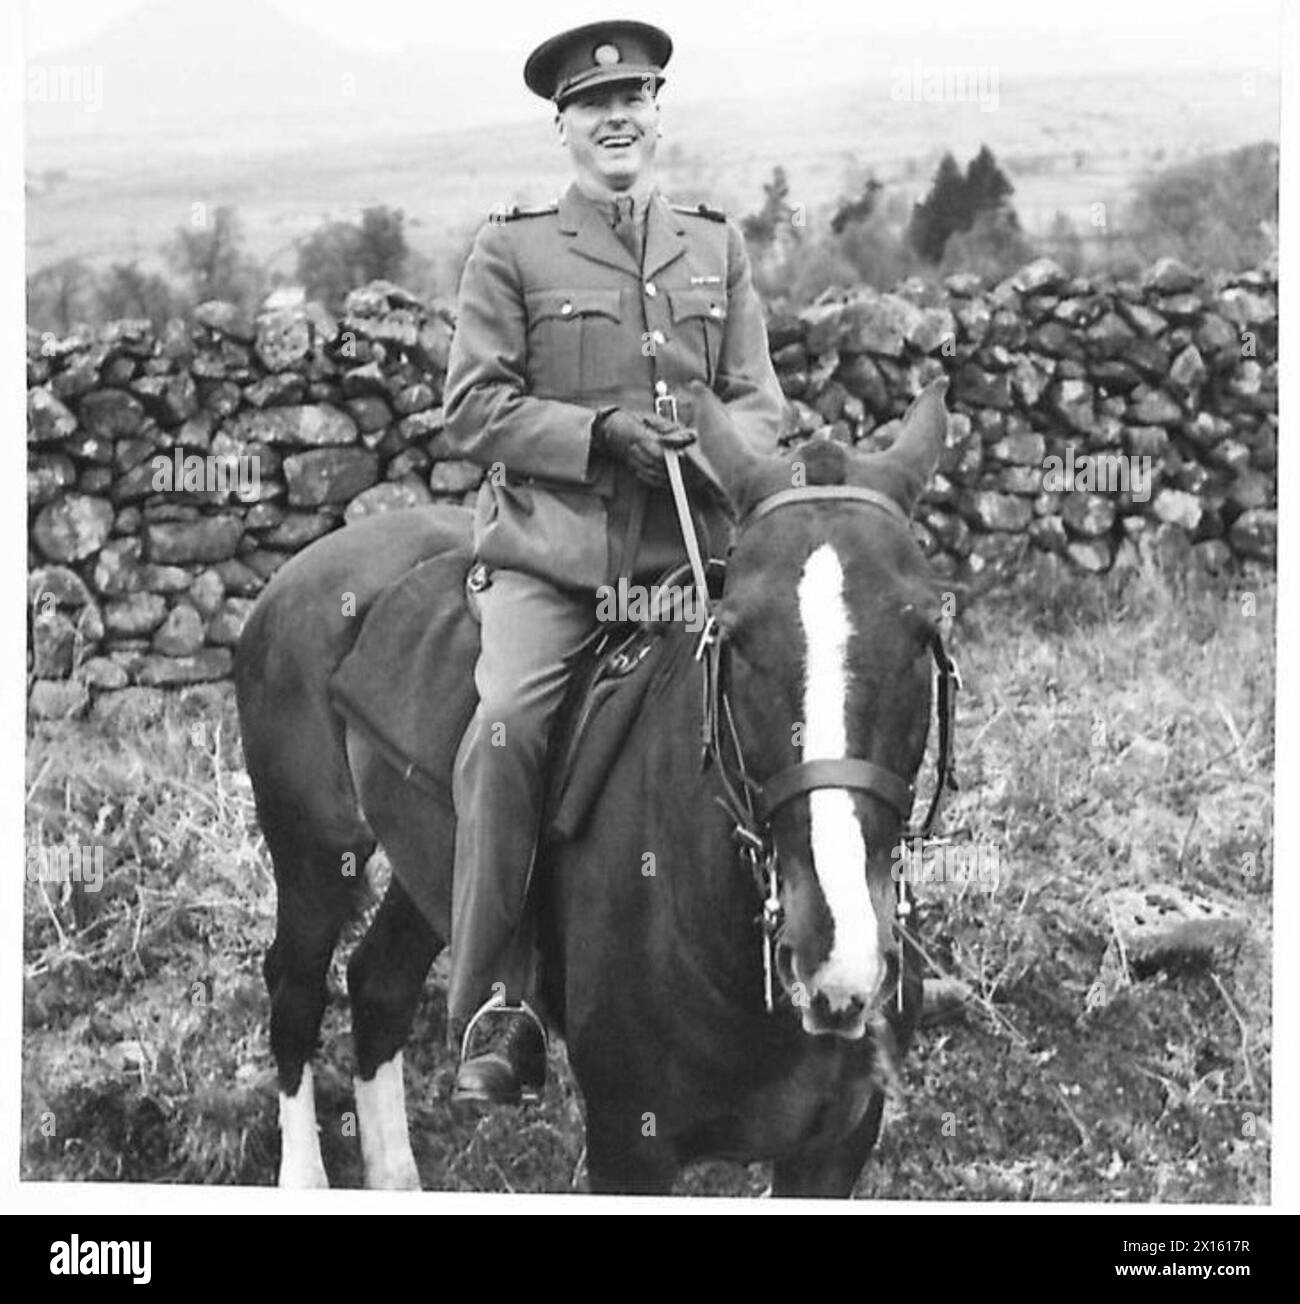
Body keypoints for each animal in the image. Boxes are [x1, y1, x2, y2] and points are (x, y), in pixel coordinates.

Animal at [236, 375, 944, 1194]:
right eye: (733, 639)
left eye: (924, 637)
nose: (837, 950)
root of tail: (302, 571)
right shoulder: (628, 1142)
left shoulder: (835, 1147)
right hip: (316, 853)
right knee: (296, 990)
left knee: (379, 984)